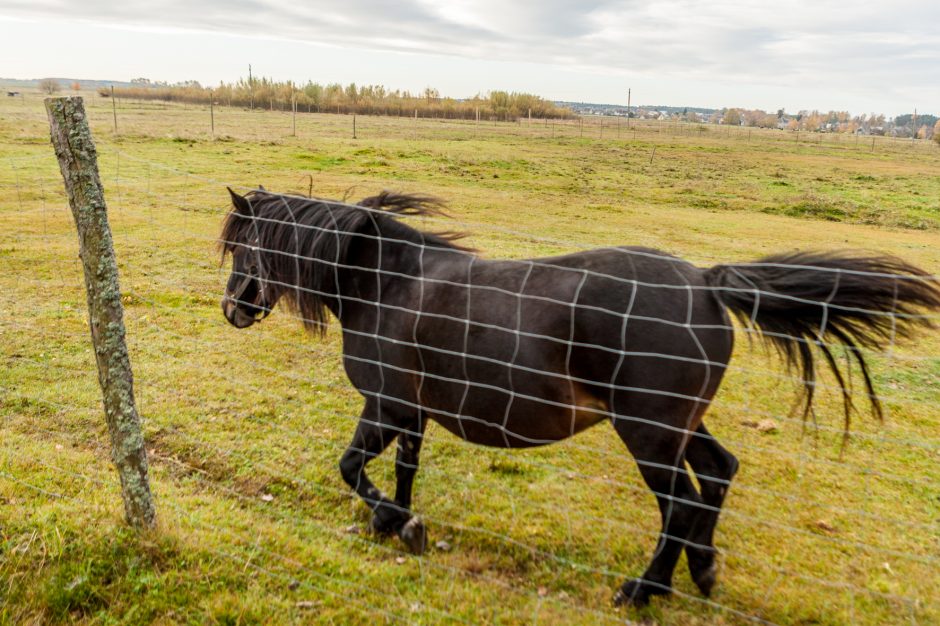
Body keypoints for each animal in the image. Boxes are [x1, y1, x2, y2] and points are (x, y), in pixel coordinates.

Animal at [218, 189, 940, 604]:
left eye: (244, 243)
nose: (233, 309)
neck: (386, 285)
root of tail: (706, 283)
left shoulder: (387, 406)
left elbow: (351, 466)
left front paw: (395, 522)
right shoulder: (412, 413)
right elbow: (402, 470)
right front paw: (397, 523)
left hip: (647, 433)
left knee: (681, 503)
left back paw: (645, 590)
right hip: (678, 428)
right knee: (716, 476)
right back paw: (701, 571)